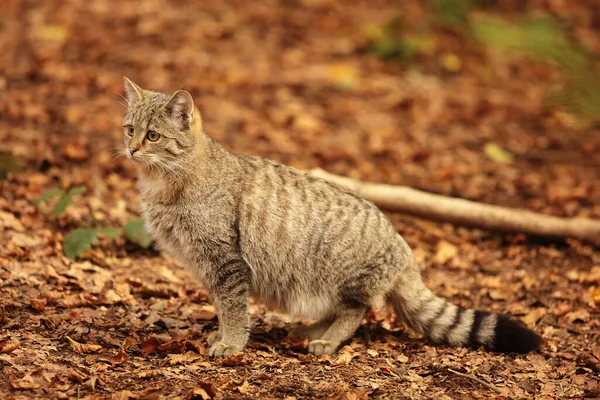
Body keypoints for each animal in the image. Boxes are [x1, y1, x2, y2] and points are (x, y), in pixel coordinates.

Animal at [119, 77, 540, 356]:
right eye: (129, 129)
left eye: (153, 136)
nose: (132, 149)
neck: (165, 182)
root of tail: (402, 246)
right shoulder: (210, 266)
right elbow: (224, 308)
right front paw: (223, 335)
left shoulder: (226, 262)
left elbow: (234, 309)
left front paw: (232, 344)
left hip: (341, 278)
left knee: (358, 310)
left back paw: (327, 339)